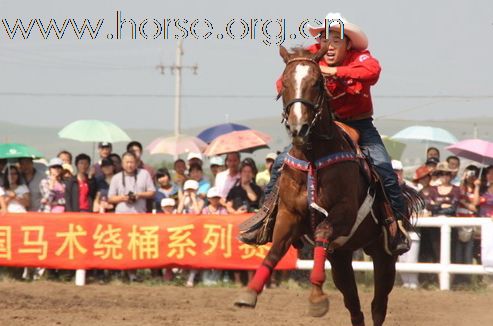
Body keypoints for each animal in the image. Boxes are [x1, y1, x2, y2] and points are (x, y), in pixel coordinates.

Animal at [235, 45, 422, 326]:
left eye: (316, 83)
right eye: (285, 82)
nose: (298, 127)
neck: (313, 158)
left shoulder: (343, 212)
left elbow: (322, 232)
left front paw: (316, 300)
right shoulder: (289, 214)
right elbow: (276, 250)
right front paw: (249, 293)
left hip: (384, 255)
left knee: (378, 305)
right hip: (341, 256)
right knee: (354, 306)